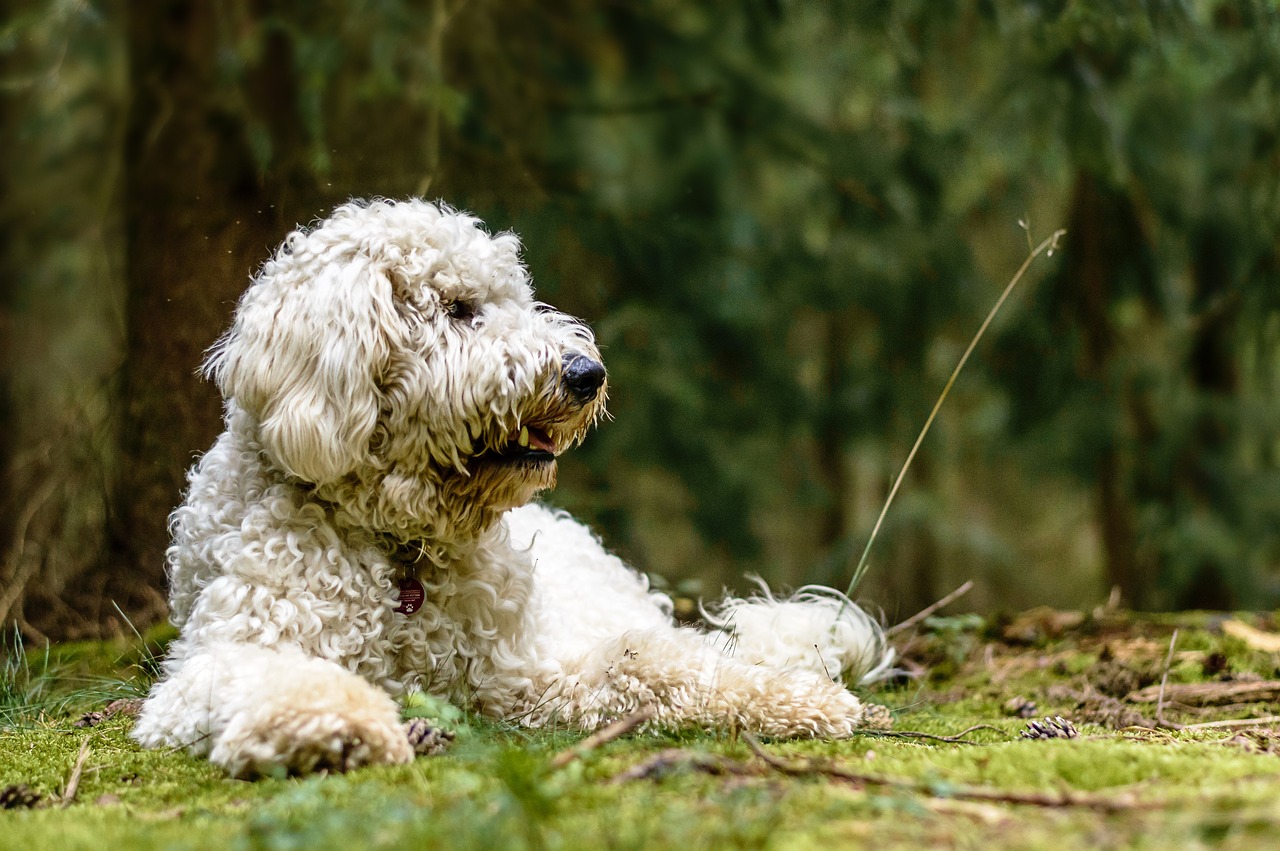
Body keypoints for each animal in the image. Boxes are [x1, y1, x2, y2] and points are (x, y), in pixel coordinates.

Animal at [132, 199, 890, 778]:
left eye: (513, 300)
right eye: (459, 308)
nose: (587, 373)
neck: (400, 545)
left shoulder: (518, 673)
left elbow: (643, 665)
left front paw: (796, 701)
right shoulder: (222, 655)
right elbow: (276, 676)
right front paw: (335, 726)